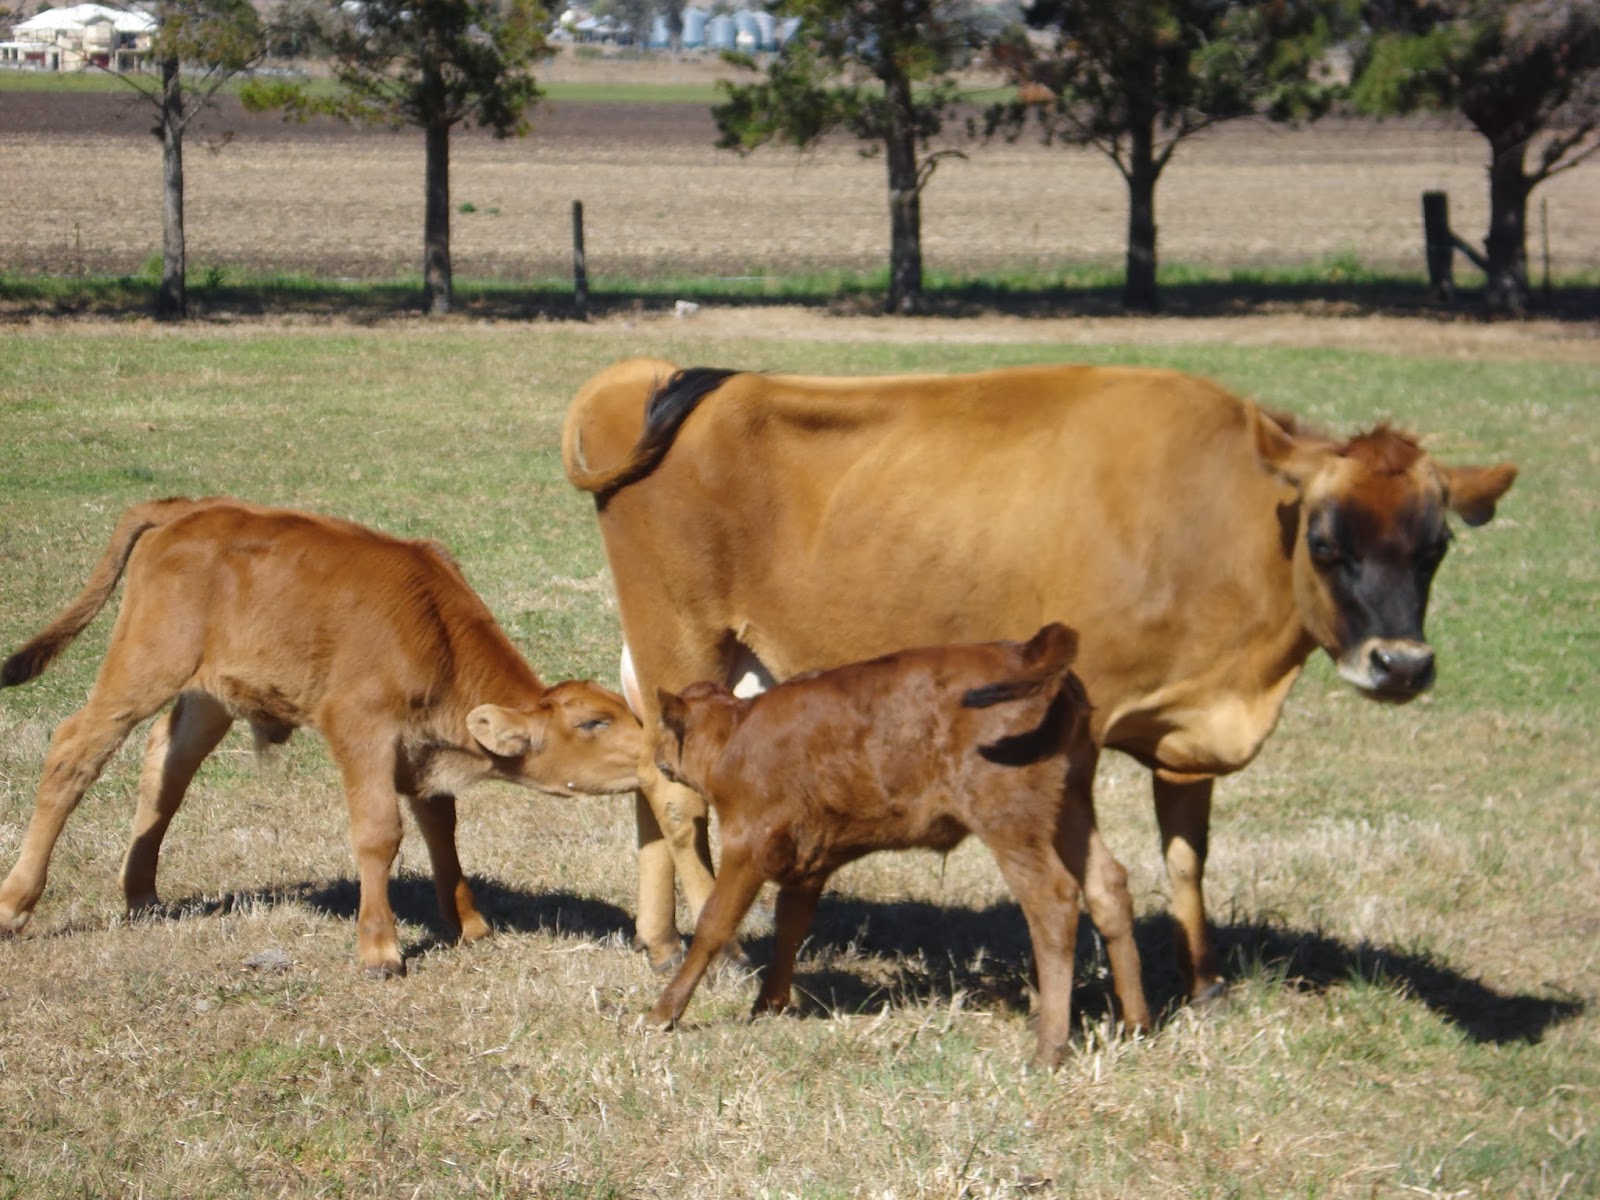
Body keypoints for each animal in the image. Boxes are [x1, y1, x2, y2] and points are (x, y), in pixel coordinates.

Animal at [0, 497, 645, 976]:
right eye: (593, 723)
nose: (655, 748)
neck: (431, 627)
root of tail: (192, 508)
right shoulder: (363, 728)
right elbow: (380, 833)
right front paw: (380, 949)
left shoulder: (421, 752)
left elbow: (442, 827)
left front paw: (470, 923)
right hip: (143, 664)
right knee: (73, 752)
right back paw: (15, 905)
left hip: (209, 695)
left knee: (167, 769)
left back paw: (141, 894)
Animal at [561, 357, 1517, 1002]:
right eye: (1327, 542)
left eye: (1434, 547)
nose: (1402, 664)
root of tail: (662, 377)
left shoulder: (1188, 728)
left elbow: (1187, 857)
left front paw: (1203, 983)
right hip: (679, 633)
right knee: (678, 796)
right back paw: (723, 947)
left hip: (717, 664)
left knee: (657, 770)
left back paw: (659, 938)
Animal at [647, 624, 1151, 1066]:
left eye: (664, 729)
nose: (656, 759)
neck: (735, 737)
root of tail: (1027, 654)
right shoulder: (811, 857)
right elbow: (790, 923)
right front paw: (768, 1004)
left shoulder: (747, 844)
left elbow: (715, 922)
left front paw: (663, 1013)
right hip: (1072, 806)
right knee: (1108, 885)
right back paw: (1136, 1025)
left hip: (1011, 818)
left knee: (1053, 901)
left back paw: (1049, 1049)